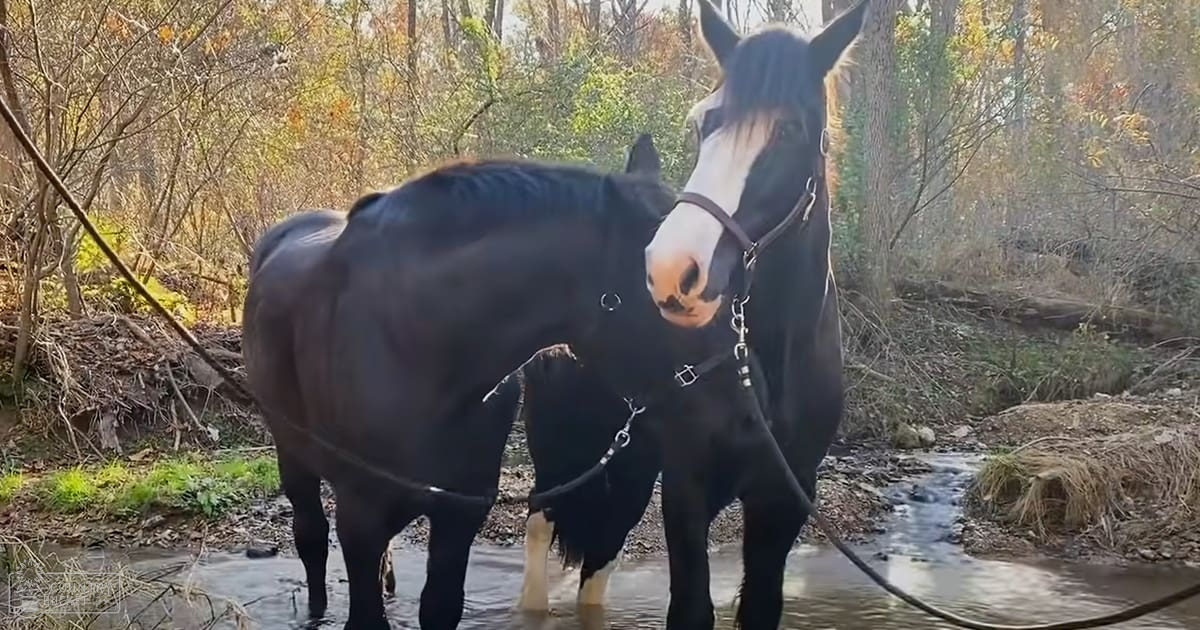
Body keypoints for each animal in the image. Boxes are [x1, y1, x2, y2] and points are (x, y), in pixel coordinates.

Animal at [241, 134, 744, 629]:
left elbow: (440, 606)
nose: (740, 419)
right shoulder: (360, 516)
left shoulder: (460, 514)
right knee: (311, 535)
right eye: (685, 289)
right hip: (293, 455)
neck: (414, 347)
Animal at [637, 1, 870, 628]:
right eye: (703, 123)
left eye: (788, 130)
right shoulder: (686, 486)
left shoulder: (784, 499)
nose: (673, 269)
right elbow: (691, 608)